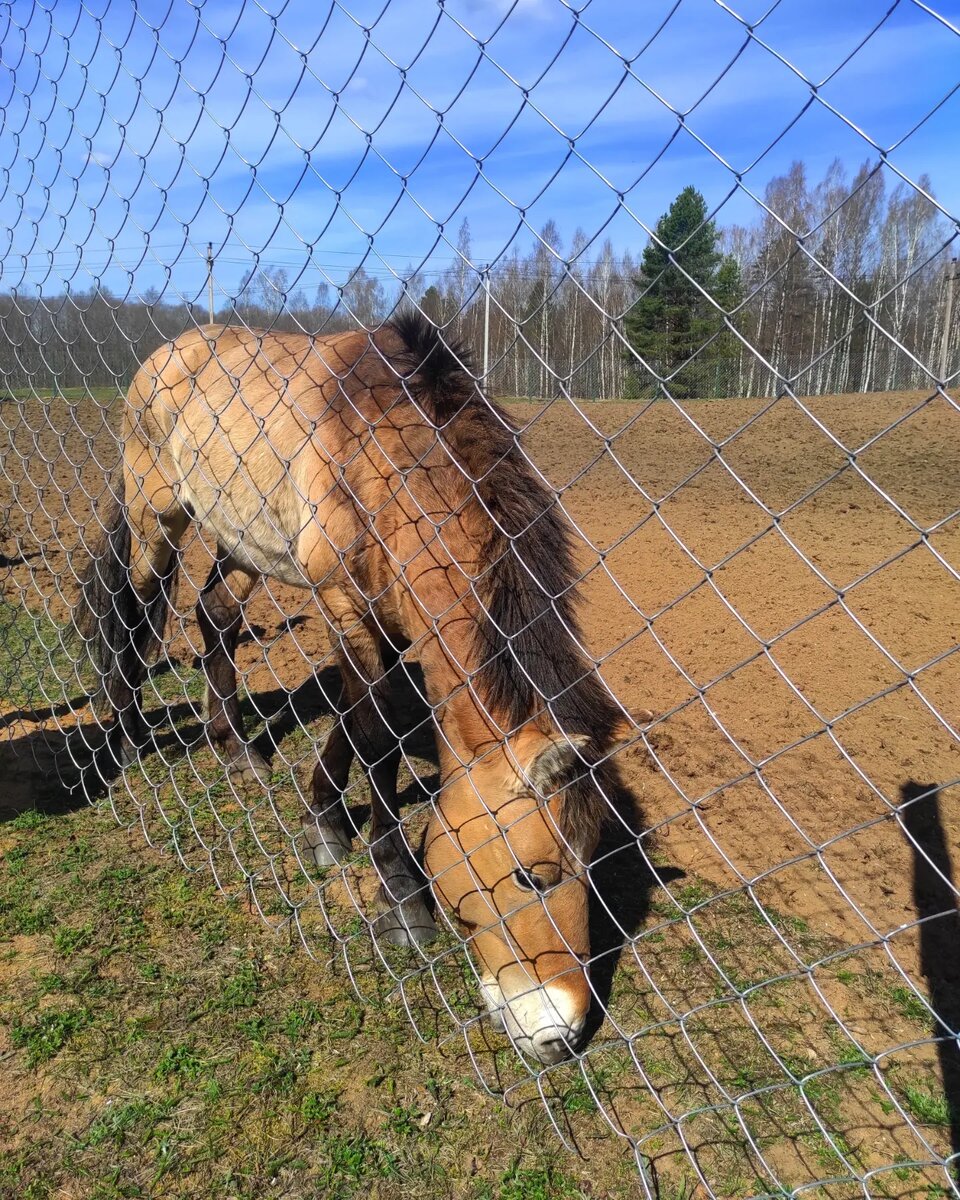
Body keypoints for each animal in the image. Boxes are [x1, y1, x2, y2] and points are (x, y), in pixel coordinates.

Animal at [78, 314, 643, 1065]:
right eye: (534, 874)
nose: (565, 1031)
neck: (385, 458)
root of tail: (171, 351)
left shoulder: (392, 623)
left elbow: (354, 717)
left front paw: (322, 815)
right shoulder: (345, 606)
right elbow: (378, 736)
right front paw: (398, 890)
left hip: (242, 541)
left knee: (215, 615)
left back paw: (236, 748)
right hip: (156, 516)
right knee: (135, 610)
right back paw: (124, 734)